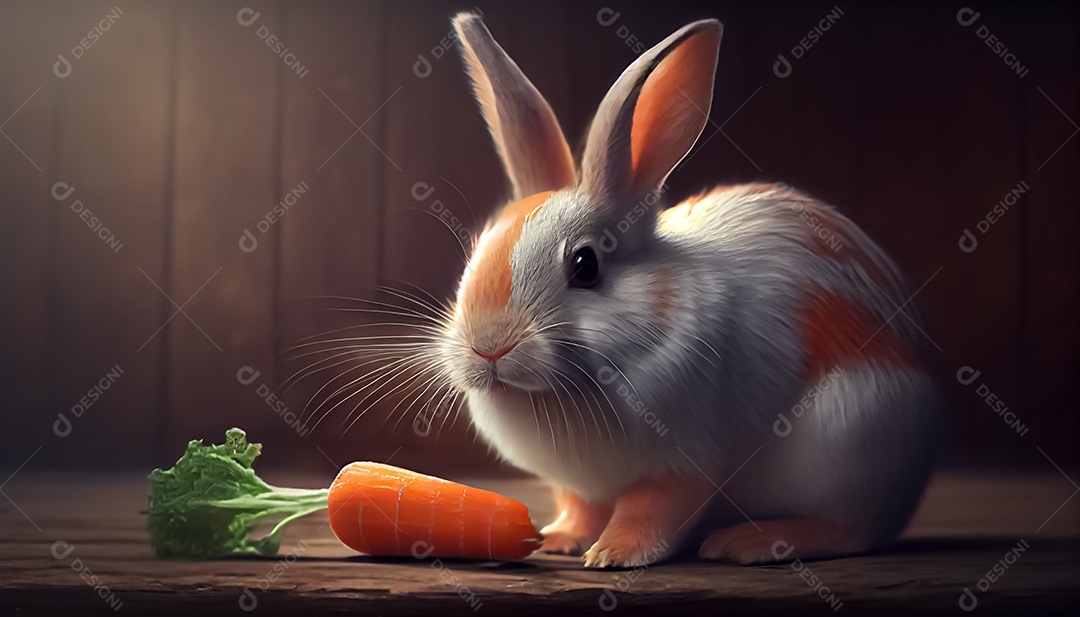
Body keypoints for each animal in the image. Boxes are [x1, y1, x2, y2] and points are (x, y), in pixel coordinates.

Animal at [435, 13, 944, 568]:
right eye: (476, 252)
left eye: (585, 266)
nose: (489, 346)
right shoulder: (578, 484)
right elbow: (581, 506)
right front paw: (557, 539)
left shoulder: (685, 462)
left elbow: (651, 509)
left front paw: (614, 554)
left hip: (849, 443)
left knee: (852, 531)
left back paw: (751, 542)